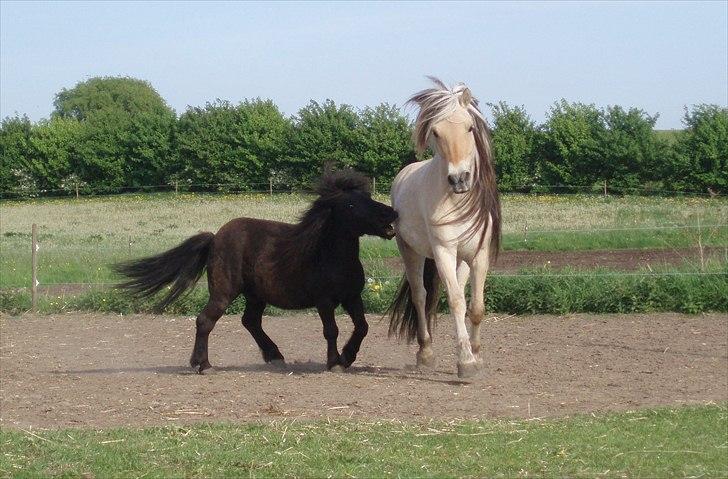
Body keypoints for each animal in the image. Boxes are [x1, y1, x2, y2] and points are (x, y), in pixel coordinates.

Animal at [115, 172, 398, 376]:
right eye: (350, 204)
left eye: (368, 197)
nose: (392, 213)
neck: (329, 256)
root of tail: (215, 238)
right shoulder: (324, 301)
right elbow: (332, 330)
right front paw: (335, 362)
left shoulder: (352, 297)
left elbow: (362, 327)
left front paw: (347, 357)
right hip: (224, 291)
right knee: (205, 320)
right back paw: (204, 365)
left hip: (255, 295)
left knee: (250, 321)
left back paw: (275, 357)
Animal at [386, 78, 500, 378]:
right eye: (436, 132)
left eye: (470, 127)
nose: (459, 179)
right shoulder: (444, 251)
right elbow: (457, 302)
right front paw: (466, 363)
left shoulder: (478, 255)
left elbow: (475, 307)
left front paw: (477, 356)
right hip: (411, 252)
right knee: (420, 296)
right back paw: (425, 353)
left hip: (461, 259)